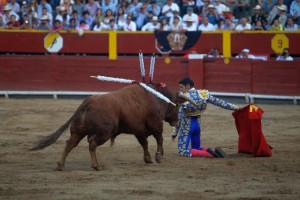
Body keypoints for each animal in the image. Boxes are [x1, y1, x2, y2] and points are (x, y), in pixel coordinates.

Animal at [30, 83, 195, 170]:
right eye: (177, 105)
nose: (176, 122)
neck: (157, 98)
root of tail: (87, 103)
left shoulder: (139, 130)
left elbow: (144, 143)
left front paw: (148, 159)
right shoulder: (155, 124)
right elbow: (159, 139)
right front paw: (158, 157)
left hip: (78, 131)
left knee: (70, 144)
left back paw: (60, 165)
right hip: (105, 132)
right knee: (92, 144)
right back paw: (96, 166)